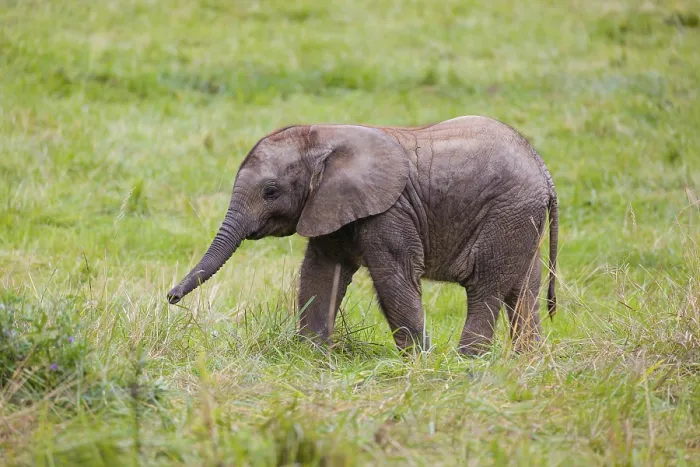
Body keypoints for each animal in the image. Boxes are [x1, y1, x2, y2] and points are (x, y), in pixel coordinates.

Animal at [167, 116, 558, 355]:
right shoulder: (329, 205)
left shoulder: (390, 212)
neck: (326, 136)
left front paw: (420, 363)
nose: (170, 297)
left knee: (485, 287)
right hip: (523, 219)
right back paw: (528, 362)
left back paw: (467, 363)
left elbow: (393, 280)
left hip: (507, 213)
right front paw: (310, 356)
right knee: (524, 290)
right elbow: (320, 274)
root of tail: (543, 168)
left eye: (270, 192)